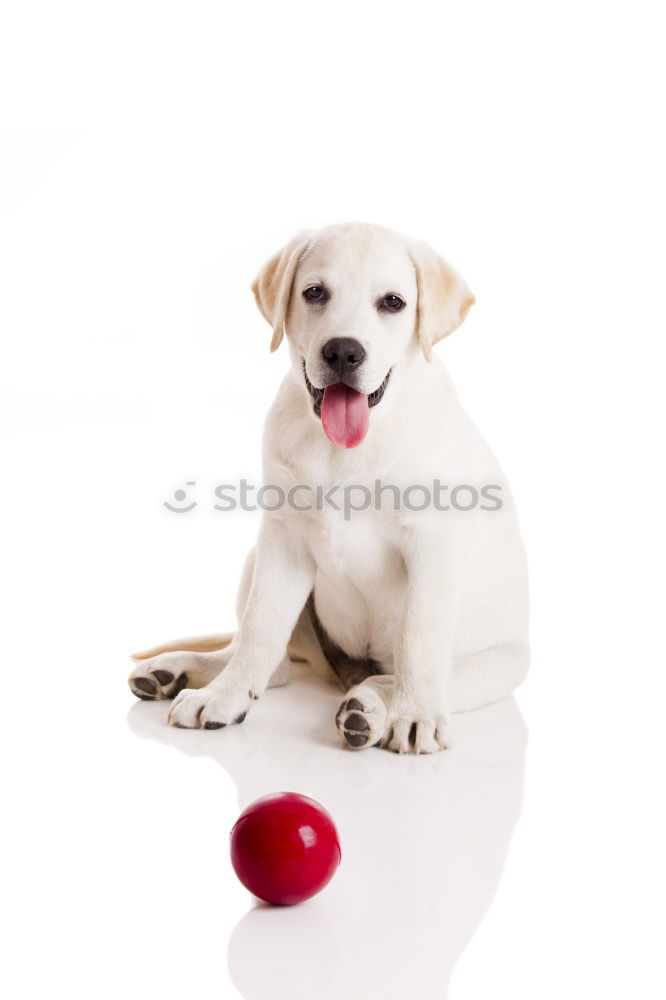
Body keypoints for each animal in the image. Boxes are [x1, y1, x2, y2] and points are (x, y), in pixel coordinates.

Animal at [127, 221, 528, 752]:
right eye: (315, 292)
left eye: (393, 302)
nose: (342, 351)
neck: (349, 447)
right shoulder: (282, 540)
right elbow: (259, 628)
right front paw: (226, 697)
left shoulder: (433, 547)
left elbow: (418, 637)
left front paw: (414, 715)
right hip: (255, 560)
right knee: (270, 663)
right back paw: (183, 674)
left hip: (499, 665)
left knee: (397, 674)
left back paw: (369, 708)